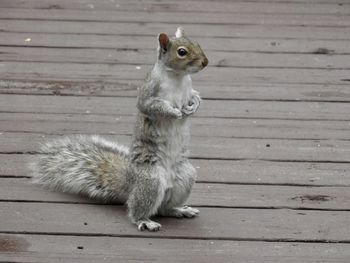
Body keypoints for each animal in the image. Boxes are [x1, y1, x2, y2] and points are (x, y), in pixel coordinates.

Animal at [30, 26, 208, 232]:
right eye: (182, 52)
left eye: (197, 43)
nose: (205, 62)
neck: (178, 77)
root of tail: (130, 180)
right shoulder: (149, 92)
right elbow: (150, 106)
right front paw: (174, 113)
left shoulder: (189, 88)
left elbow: (195, 96)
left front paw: (193, 106)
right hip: (151, 182)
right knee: (137, 209)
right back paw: (144, 220)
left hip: (185, 176)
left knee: (165, 208)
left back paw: (179, 209)